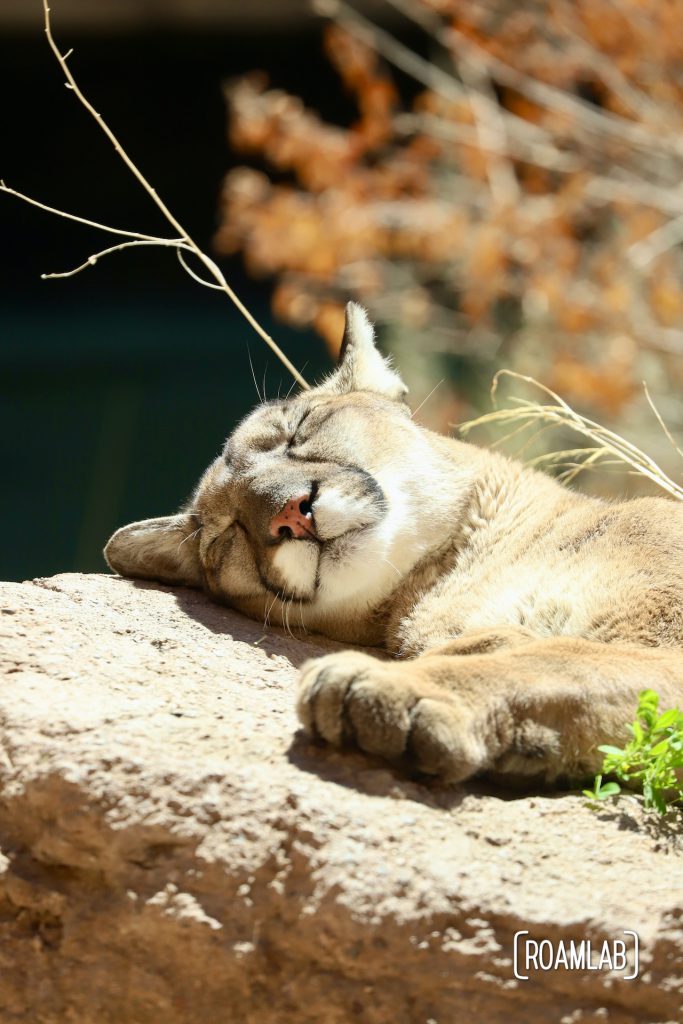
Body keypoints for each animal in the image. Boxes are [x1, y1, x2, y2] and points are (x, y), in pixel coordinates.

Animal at [104, 301, 683, 782]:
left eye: (300, 429)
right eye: (227, 534)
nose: (290, 514)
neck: (457, 573)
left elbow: (559, 659)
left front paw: (400, 687)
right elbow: (550, 658)